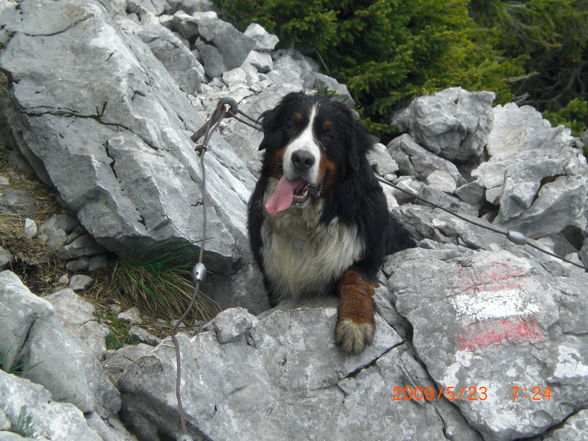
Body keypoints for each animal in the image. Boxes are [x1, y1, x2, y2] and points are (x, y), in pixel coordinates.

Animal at [248, 91, 408, 352]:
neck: (307, 222)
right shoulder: (275, 277)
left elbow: (355, 278)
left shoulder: (366, 250)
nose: (302, 159)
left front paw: (355, 324)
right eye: (291, 126)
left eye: (328, 135)